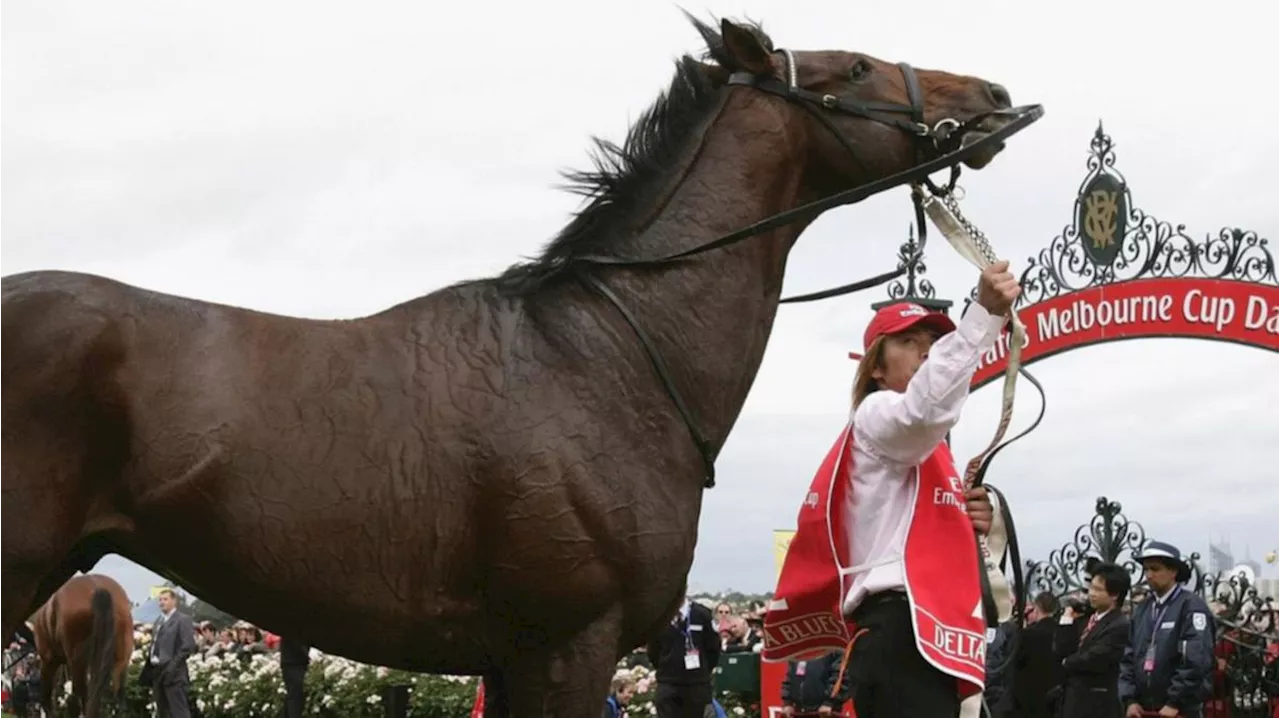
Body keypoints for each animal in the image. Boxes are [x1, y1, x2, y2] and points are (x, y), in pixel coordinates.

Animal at [30, 570, 133, 716]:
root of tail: (99, 589)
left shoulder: (49, 661)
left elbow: (47, 698)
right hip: (121, 661)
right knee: (116, 698)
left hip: (77, 663)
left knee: (77, 699)